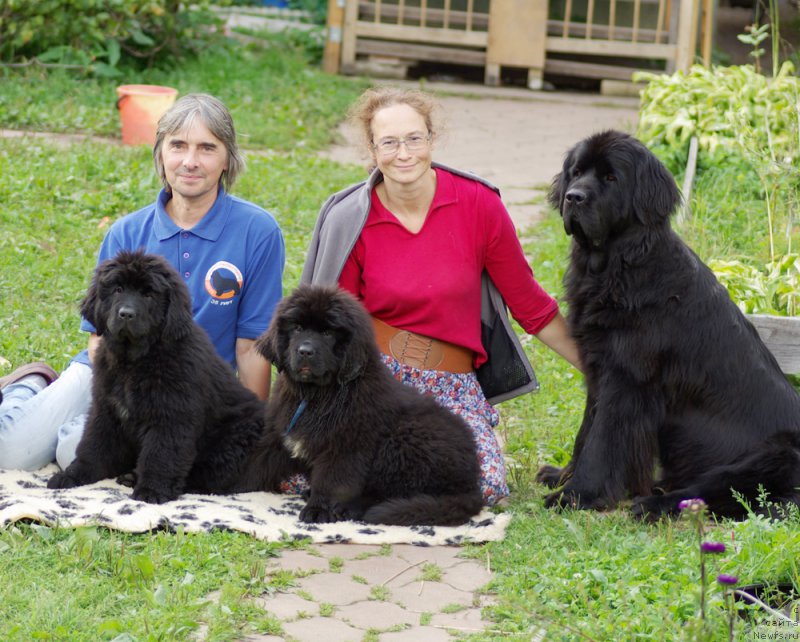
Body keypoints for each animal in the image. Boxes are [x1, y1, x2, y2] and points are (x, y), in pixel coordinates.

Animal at [48, 248, 264, 502]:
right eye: (118, 289)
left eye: (149, 294)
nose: (126, 314)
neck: (135, 361)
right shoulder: (106, 408)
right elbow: (93, 444)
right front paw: (72, 475)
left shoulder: (170, 415)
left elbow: (161, 455)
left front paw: (151, 491)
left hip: (235, 438)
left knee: (212, 475)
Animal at [238, 284, 484, 524]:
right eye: (297, 328)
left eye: (327, 333)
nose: (305, 351)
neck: (316, 395)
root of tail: (472, 486)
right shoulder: (279, 434)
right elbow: (258, 462)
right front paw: (233, 486)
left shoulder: (344, 446)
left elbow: (331, 481)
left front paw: (318, 510)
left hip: (404, 439)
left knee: (393, 493)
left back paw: (350, 508)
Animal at [536, 131, 800, 520]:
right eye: (577, 172)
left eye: (611, 178)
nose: (573, 197)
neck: (618, 266)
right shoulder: (599, 369)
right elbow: (586, 431)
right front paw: (562, 476)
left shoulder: (627, 379)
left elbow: (601, 441)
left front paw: (576, 495)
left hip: (773, 455)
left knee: (714, 494)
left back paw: (651, 502)